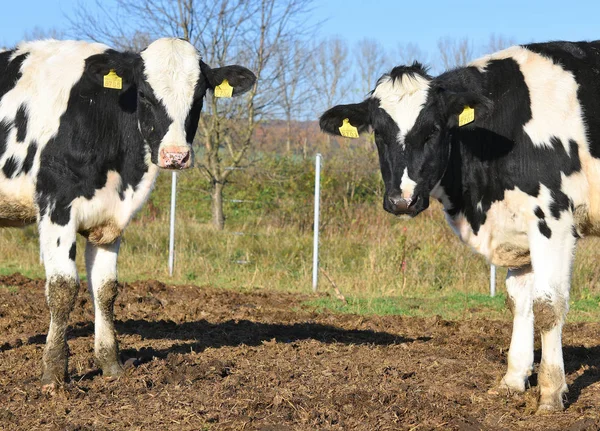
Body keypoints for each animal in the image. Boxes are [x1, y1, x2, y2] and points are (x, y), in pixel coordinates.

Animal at [0, 38, 255, 392]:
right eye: (144, 93)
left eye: (200, 94)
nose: (175, 156)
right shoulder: (56, 205)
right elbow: (63, 289)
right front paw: (53, 374)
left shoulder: (111, 219)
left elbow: (106, 289)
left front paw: (111, 364)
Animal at [322, 41, 600, 416]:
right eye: (378, 134)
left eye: (434, 130)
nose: (401, 200)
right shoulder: (516, 230)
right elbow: (519, 302)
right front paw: (513, 380)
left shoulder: (552, 219)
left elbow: (547, 306)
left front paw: (550, 393)